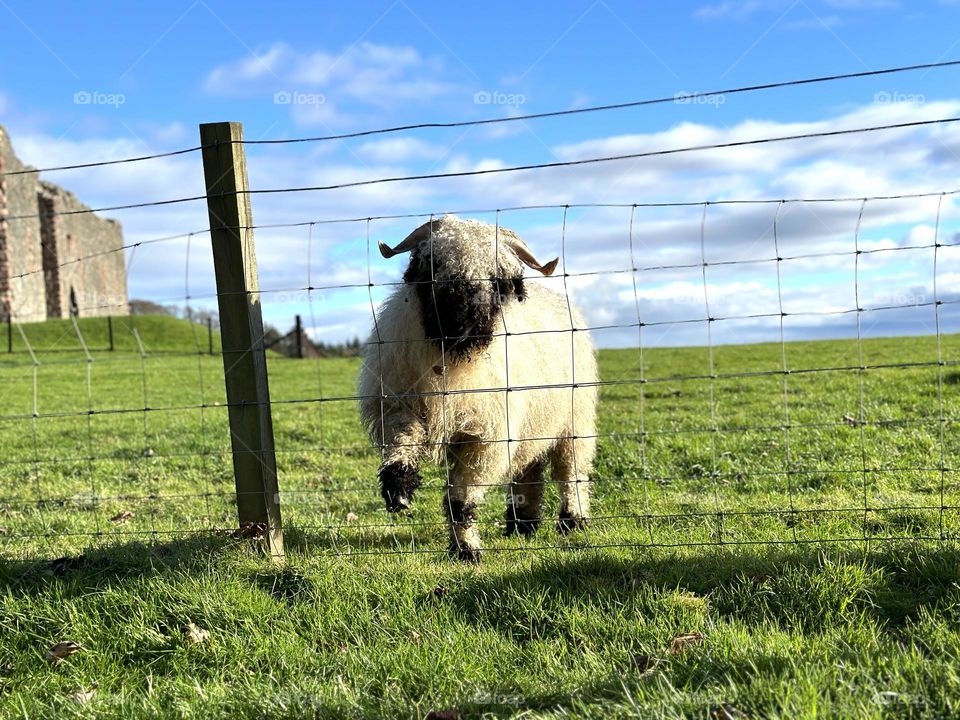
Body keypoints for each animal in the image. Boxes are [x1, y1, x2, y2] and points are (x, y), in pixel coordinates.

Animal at [358, 215, 598, 562]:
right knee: (529, 472)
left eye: (499, 279)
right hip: (532, 426)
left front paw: (467, 551)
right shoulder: (398, 408)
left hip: (574, 421)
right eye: (433, 263)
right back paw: (522, 525)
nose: (462, 326)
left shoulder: (484, 439)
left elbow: (460, 502)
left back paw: (572, 520)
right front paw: (398, 489)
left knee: (571, 472)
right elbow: (401, 447)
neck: (451, 360)